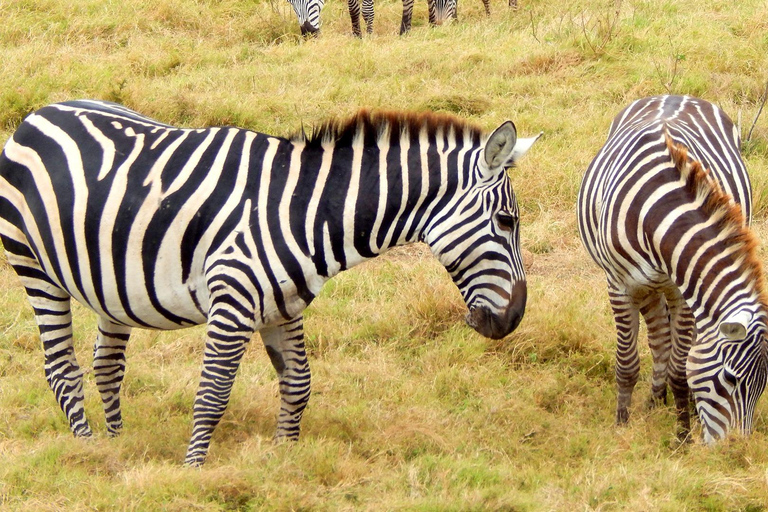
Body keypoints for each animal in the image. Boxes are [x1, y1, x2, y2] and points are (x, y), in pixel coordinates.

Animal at [0, 98, 540, 466]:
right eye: (507, 222)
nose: (514, 318)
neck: (306, 210)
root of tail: (38, 114)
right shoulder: (232, 302)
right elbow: (213, 393)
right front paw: (193, 471)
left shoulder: (284, 305)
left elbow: (298, 384)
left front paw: (283, 461)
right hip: (34, 268)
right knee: (61, 369)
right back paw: (88, 450)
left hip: (112, 286)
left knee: (107, 366)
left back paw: (116, 446)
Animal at [580, 96, 764, 444]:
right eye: (730, 379)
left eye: (764, 385)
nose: (736, 449)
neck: (657, 216)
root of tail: (677, 96)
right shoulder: (620, 286)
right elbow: (627, 363)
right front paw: (622, 424)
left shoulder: (683, 293)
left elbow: (682, 368)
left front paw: (682, 434)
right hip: (648, 288)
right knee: (658, 338)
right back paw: (654, 399)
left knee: (668, 339)